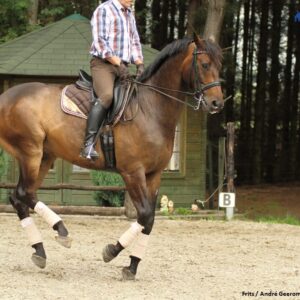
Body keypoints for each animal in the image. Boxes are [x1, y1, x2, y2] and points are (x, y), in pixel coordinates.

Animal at [0, 34, 223, 278]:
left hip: (44, 157)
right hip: (31, 152)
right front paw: (112, 251)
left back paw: (41, 250)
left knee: (20, 196)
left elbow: (149, 220)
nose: (217, 103)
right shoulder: (132, 173)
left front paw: (132, 265)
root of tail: (6, 97)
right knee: (24, 193)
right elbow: (144, 214)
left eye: (220, 65)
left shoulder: (154, 175)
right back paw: (61, 232)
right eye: (205, 65)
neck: (150, 109)